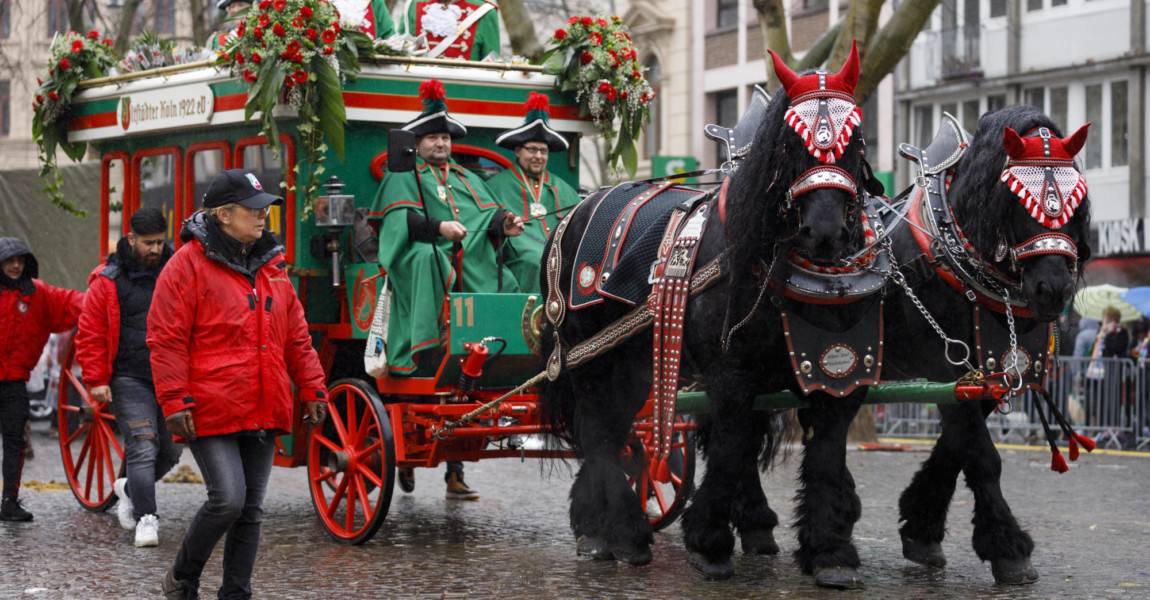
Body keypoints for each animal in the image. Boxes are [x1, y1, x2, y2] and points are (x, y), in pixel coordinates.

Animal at [535, 45, 878, 583]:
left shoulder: (839, 375)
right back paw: (623, 533)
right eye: (788, 143)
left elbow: (825, 455)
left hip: (634, 363)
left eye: (856, 139)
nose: (823, 233)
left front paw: (830, 552)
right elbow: (730, 450)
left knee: (612, 429)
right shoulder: (731, 375)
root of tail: (575, 210)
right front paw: (711, 543)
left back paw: (603, 529)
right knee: (598, 431)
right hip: (588, 357)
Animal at [878, 105, 1094, 581]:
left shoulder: (990, 372)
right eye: (1016, 199)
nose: (1053, 289)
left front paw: (920, 526)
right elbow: (980, 454)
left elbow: (956, 446)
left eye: (1077, 200)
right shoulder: (945, 365)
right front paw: (1009, 548)